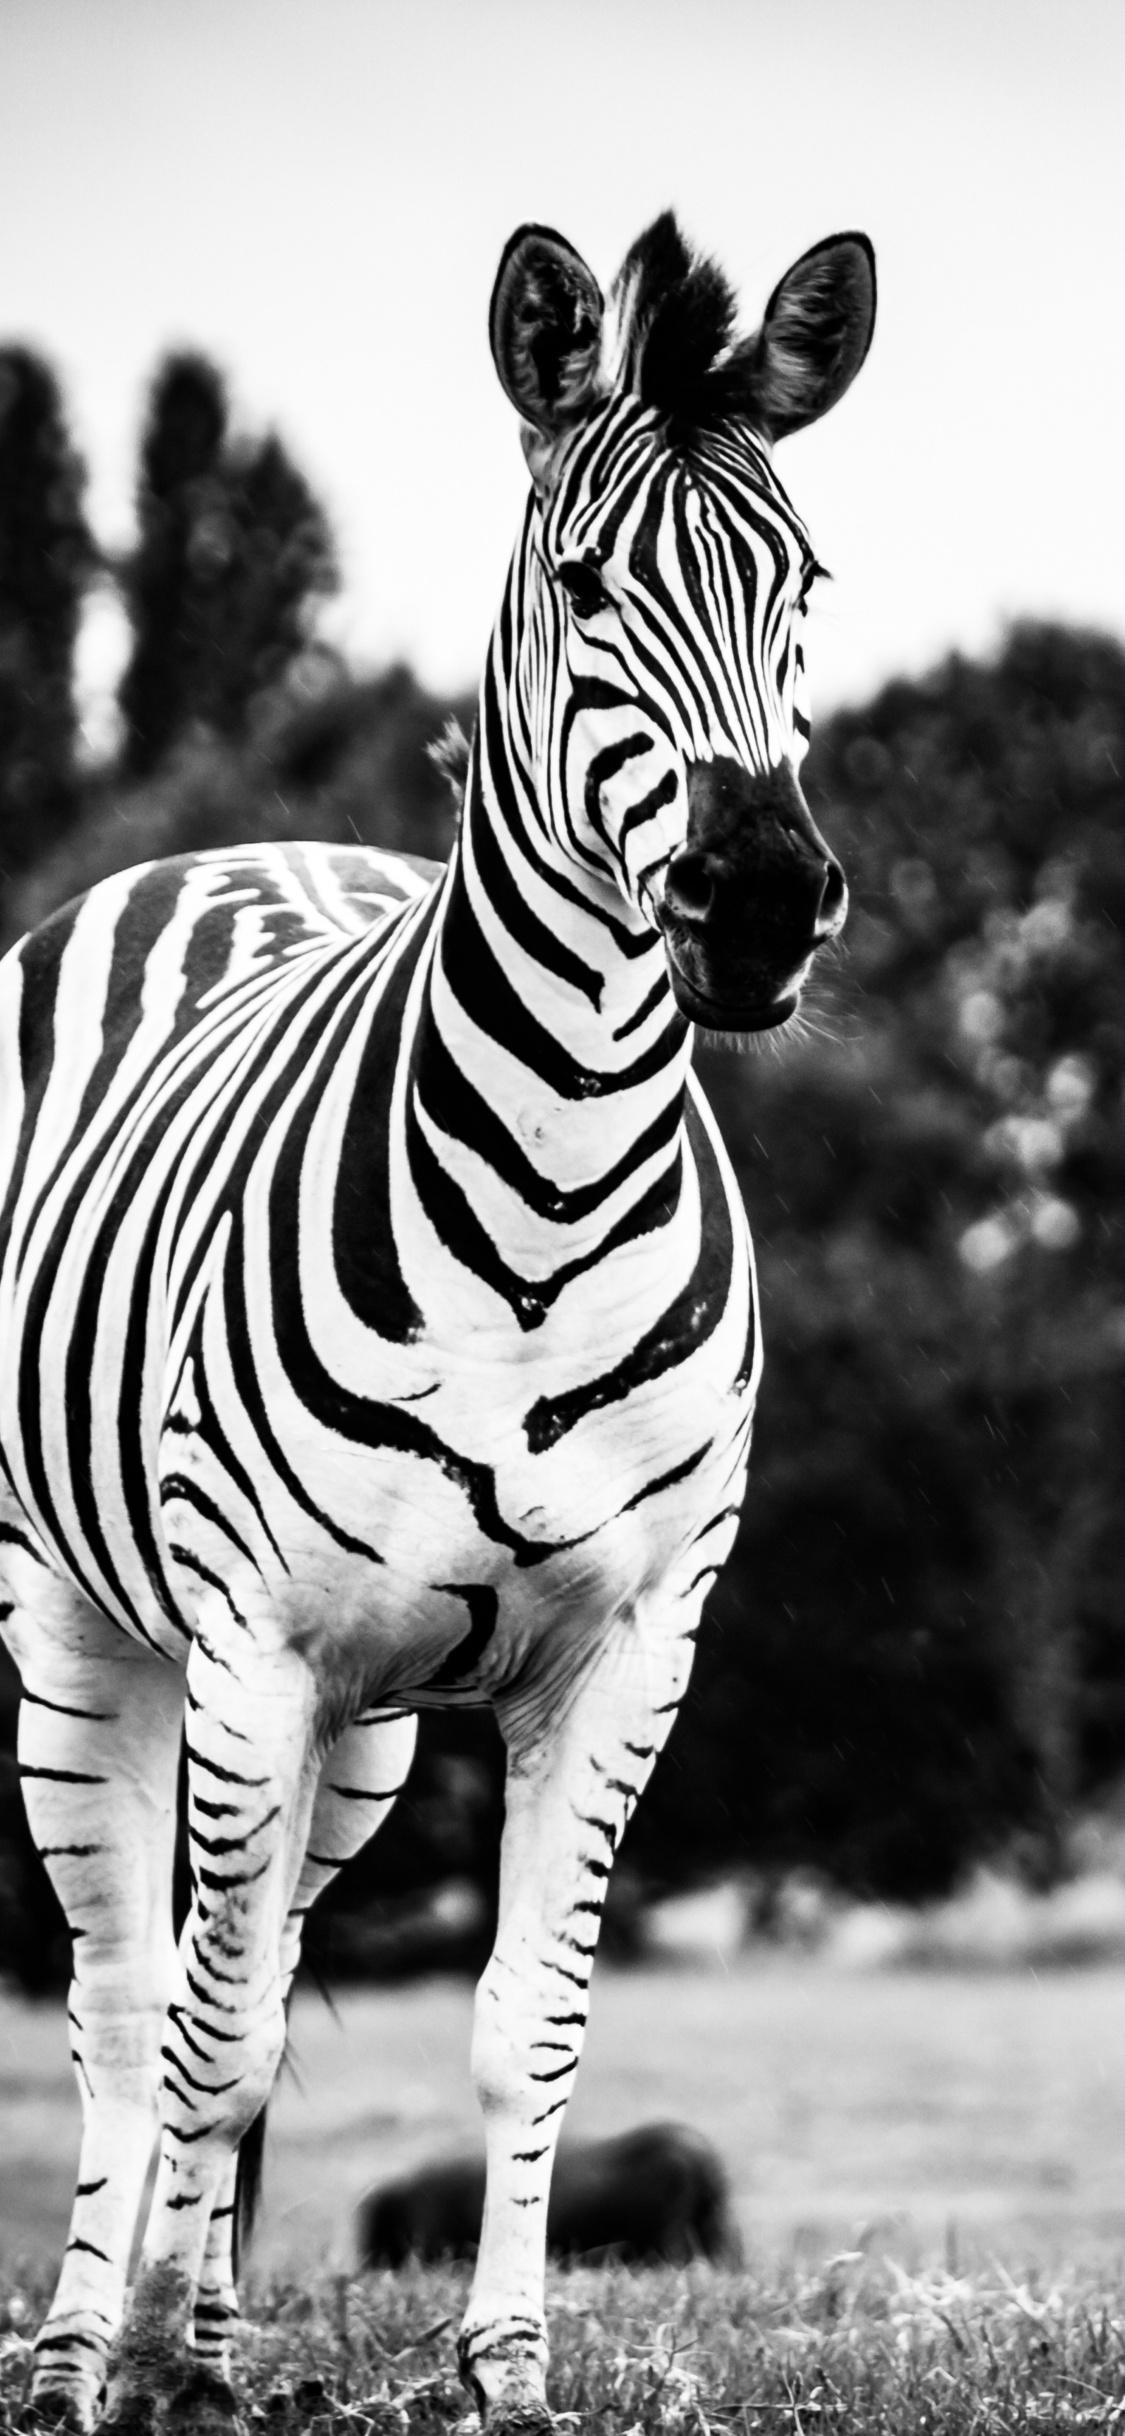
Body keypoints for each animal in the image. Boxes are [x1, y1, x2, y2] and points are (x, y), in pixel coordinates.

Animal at [0, 210, 875, 2433]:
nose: (760, 900)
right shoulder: (252, 1641)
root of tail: (244, 845)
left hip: (369, 1734)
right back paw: (88, 2345)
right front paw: (154, 2370)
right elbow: (201, 2027)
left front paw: (502, 2365)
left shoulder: (631, 1651)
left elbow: (516, 2026)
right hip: (80, 1624)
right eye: (583, 583)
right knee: (126, 1999)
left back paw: (211, 2333)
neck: (549, 1190)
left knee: (240, 1982)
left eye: (805, 584)